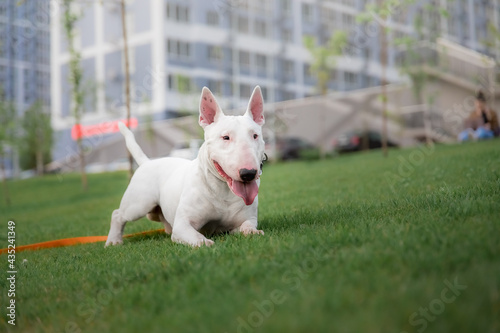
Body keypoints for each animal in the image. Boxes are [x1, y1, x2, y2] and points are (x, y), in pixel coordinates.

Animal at [105, 85, 266, 246]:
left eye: (255, 136)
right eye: (225, 137)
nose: (248, 173)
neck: (223, 190)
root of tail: (147, 162)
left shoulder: (245, 220)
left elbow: (247, 227)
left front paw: (254, 232)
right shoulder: (182, 224)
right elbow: (195, 236)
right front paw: (205, 243)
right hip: (139, 204)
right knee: (117, 214)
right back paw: (113, 240)